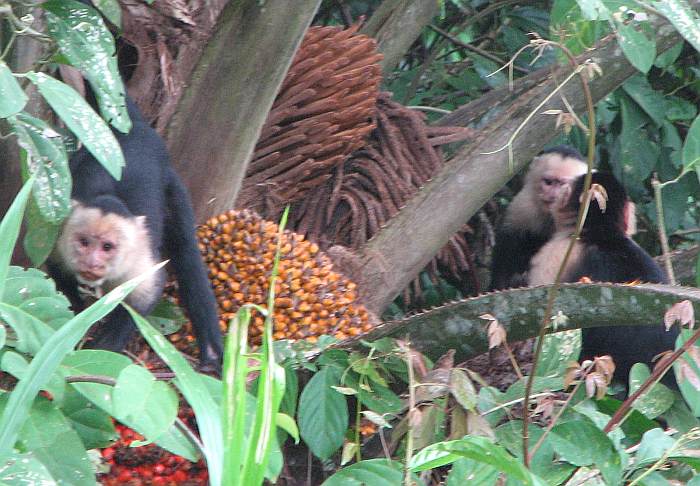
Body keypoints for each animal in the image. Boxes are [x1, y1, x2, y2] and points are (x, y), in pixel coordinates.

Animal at [47, 98, 223, 372]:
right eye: (84, 243)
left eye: (107, 247)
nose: (91, 262)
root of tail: (134, 130)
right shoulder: (60, 243)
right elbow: (57, 273)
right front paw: (75, 321)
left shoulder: (137, 259)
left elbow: (146, 294)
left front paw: (101, 348)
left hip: (171, 181)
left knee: (187, 255)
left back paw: (212, 355)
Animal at [490, 144, 588, 288]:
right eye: (548, 182)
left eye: (563, 184)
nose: (553, 195)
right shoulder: (524, 205)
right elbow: (509, 239)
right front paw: (502, 283)